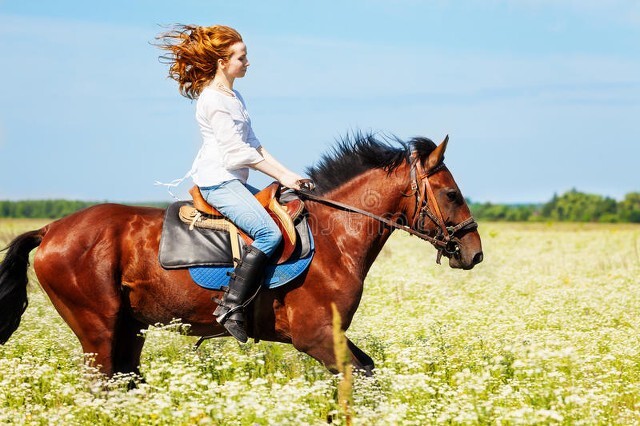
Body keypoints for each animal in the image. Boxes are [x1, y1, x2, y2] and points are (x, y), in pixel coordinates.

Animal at [0, 133, 480, 376]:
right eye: (452, 194)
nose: (473, 253)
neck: (334, 237)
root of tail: (51, 229)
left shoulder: (329, 336)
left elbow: (368, 371)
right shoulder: (317, 337)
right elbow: (360, 377)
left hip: (130, 330)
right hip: (98, 331)